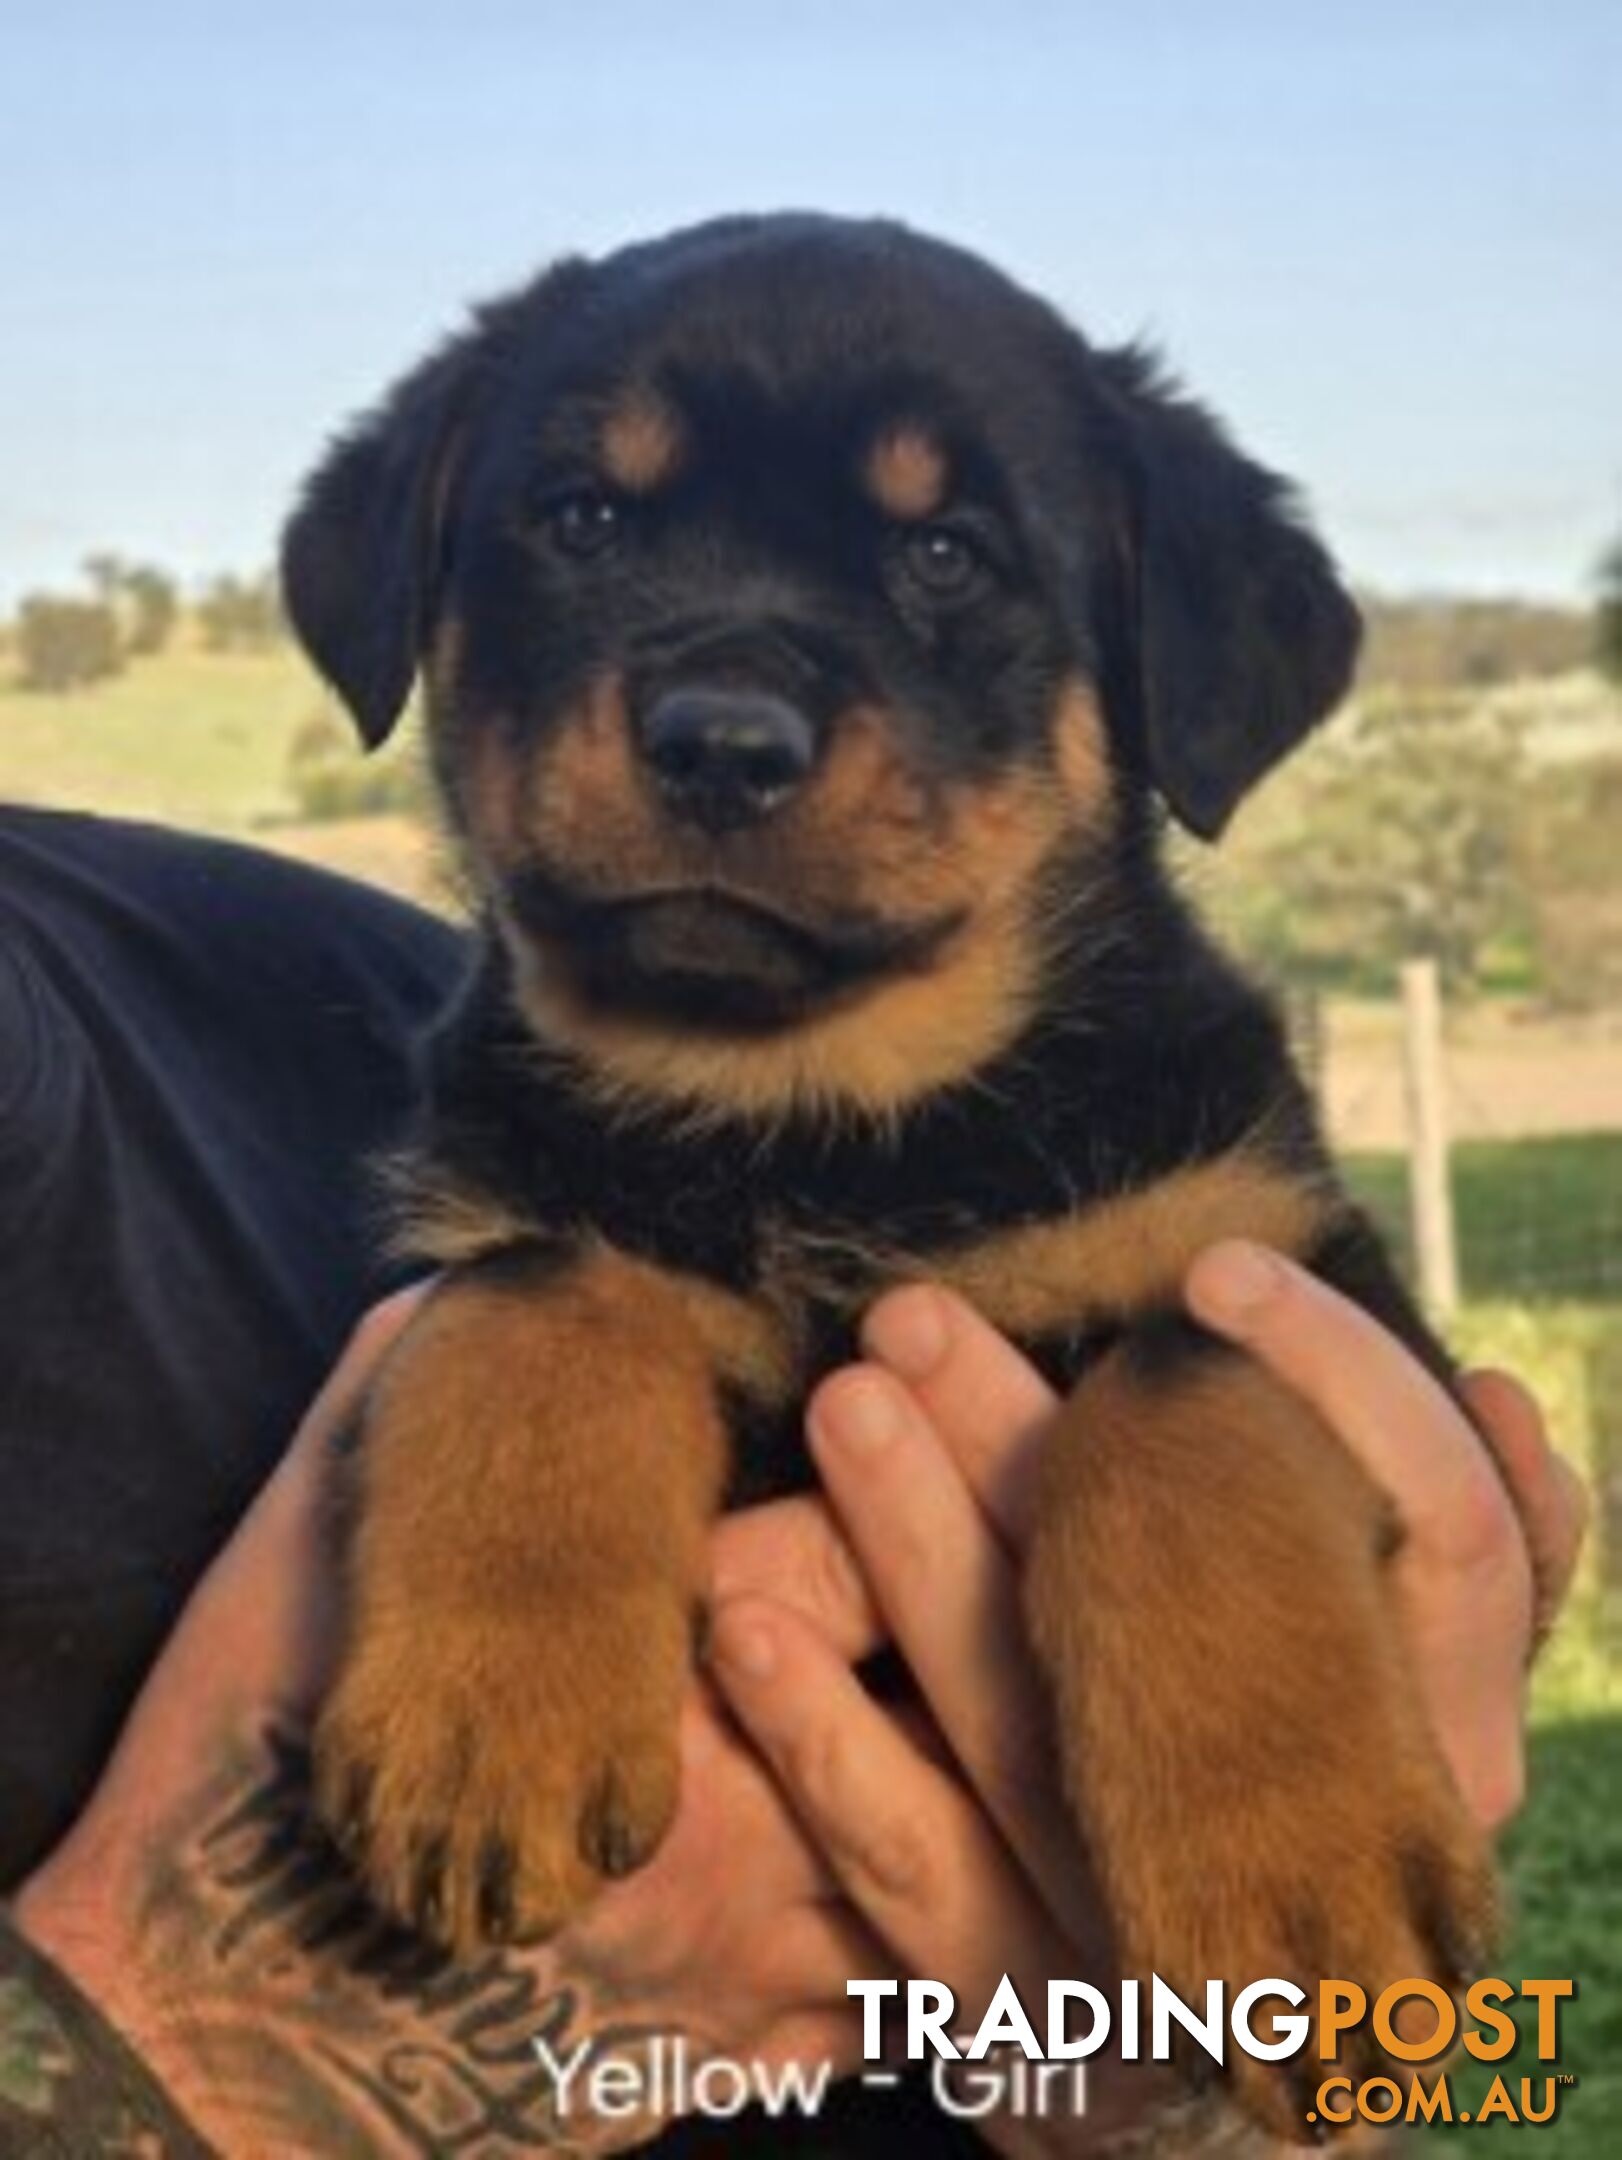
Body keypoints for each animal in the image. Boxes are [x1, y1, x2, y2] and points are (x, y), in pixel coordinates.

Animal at [278, 210, 1494, 2134]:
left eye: (945, 553)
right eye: (582, 518)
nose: (720, 739)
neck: (818, 1111)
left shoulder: (1292, 1274)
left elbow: (1181, 1399)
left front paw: (1294, 1885)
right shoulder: (456, 1244)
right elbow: (537, 1299)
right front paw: (488, 1713)